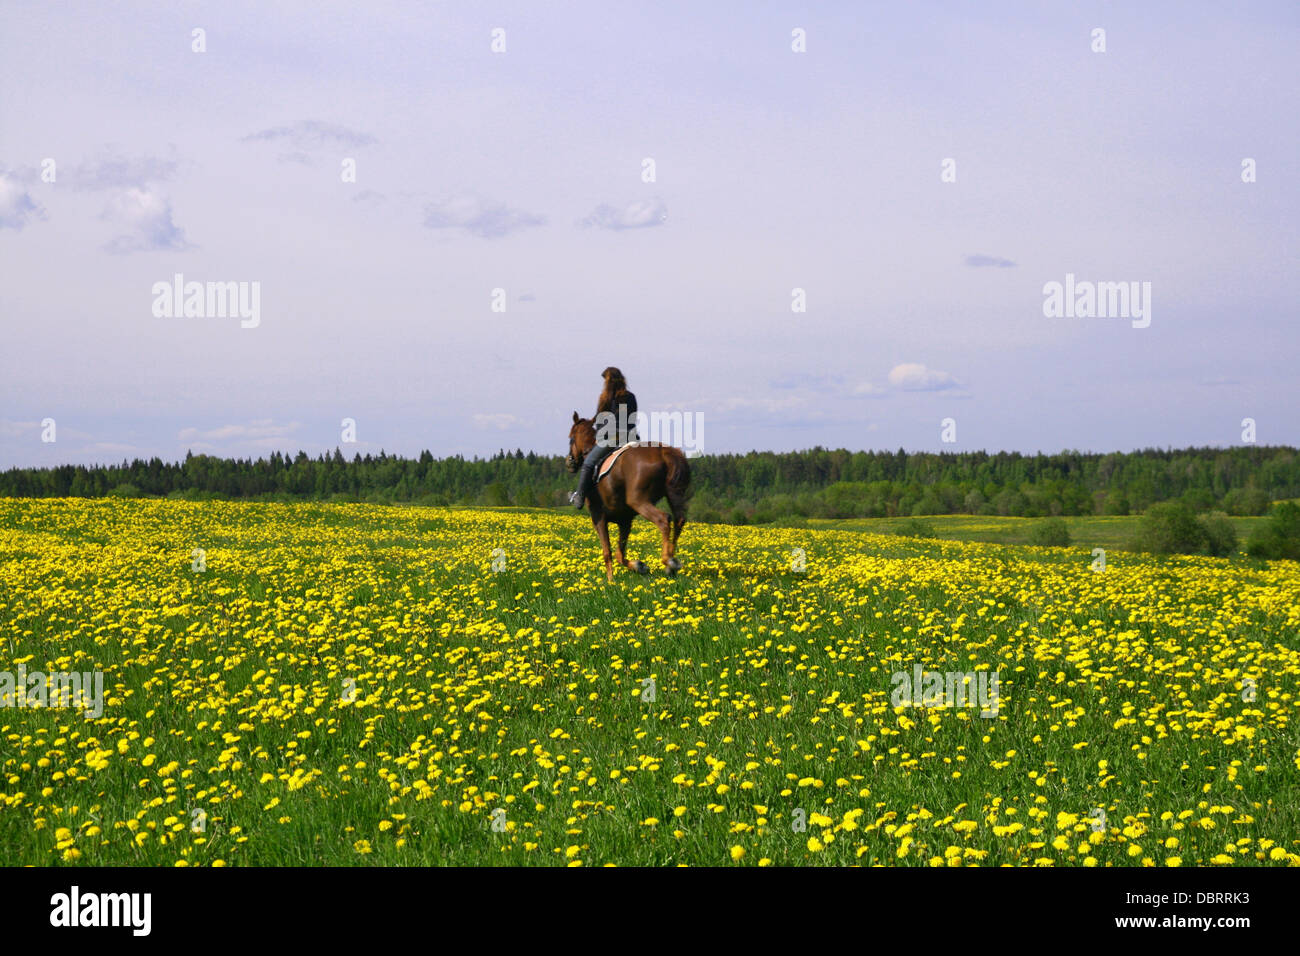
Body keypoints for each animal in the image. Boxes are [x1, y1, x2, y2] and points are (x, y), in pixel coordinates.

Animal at [566, 411, 696, 582]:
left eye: (571, 438)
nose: (569, 462)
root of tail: (664, 453)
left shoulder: (598, 517)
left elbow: (607, 552)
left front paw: (610, 581)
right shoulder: (625, 521)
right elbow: (619, 554)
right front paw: (639, 566)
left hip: (639, 501)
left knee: (663, 519)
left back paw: (667, 560)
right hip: (674, 494)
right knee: (679, 520)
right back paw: (671, 564)